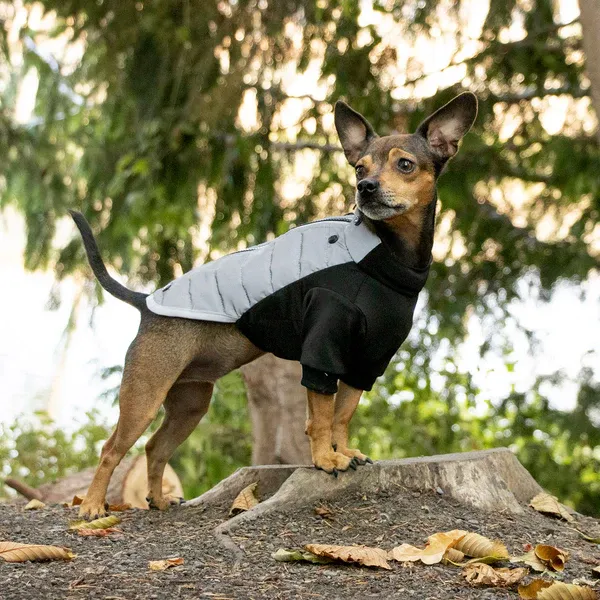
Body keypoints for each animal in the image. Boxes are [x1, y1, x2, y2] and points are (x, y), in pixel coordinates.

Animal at [70, 91, 476, 516]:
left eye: (405, 164)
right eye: (359, 168)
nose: (365, 187)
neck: (385, 255)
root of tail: (147, 302)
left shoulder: (366, 362)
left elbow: (343, 414)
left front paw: (344, 451)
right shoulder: (322, 351)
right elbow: (321, 416)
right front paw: (325, 459)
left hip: (190, 404)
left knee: (154, 447)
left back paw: (159, 500)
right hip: (144, 396)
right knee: (112, 449)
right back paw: (93, 507)